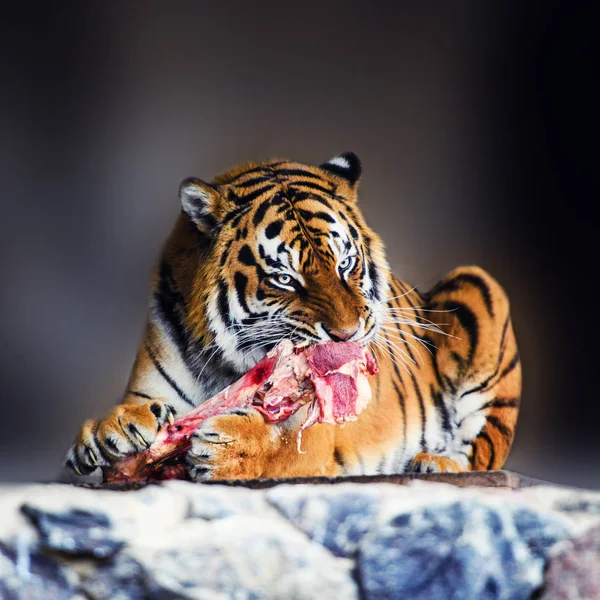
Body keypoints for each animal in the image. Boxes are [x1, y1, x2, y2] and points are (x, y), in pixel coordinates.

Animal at [64, 152, 520, 480]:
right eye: (285, 278)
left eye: (345, 264)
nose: (348, 335)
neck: (226, 368)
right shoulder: (149, 388)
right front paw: (109, 431)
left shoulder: (320, 431)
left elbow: (284, 446)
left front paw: (229, 450)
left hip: (477, 283)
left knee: (483, 450)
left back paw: (434, 461)